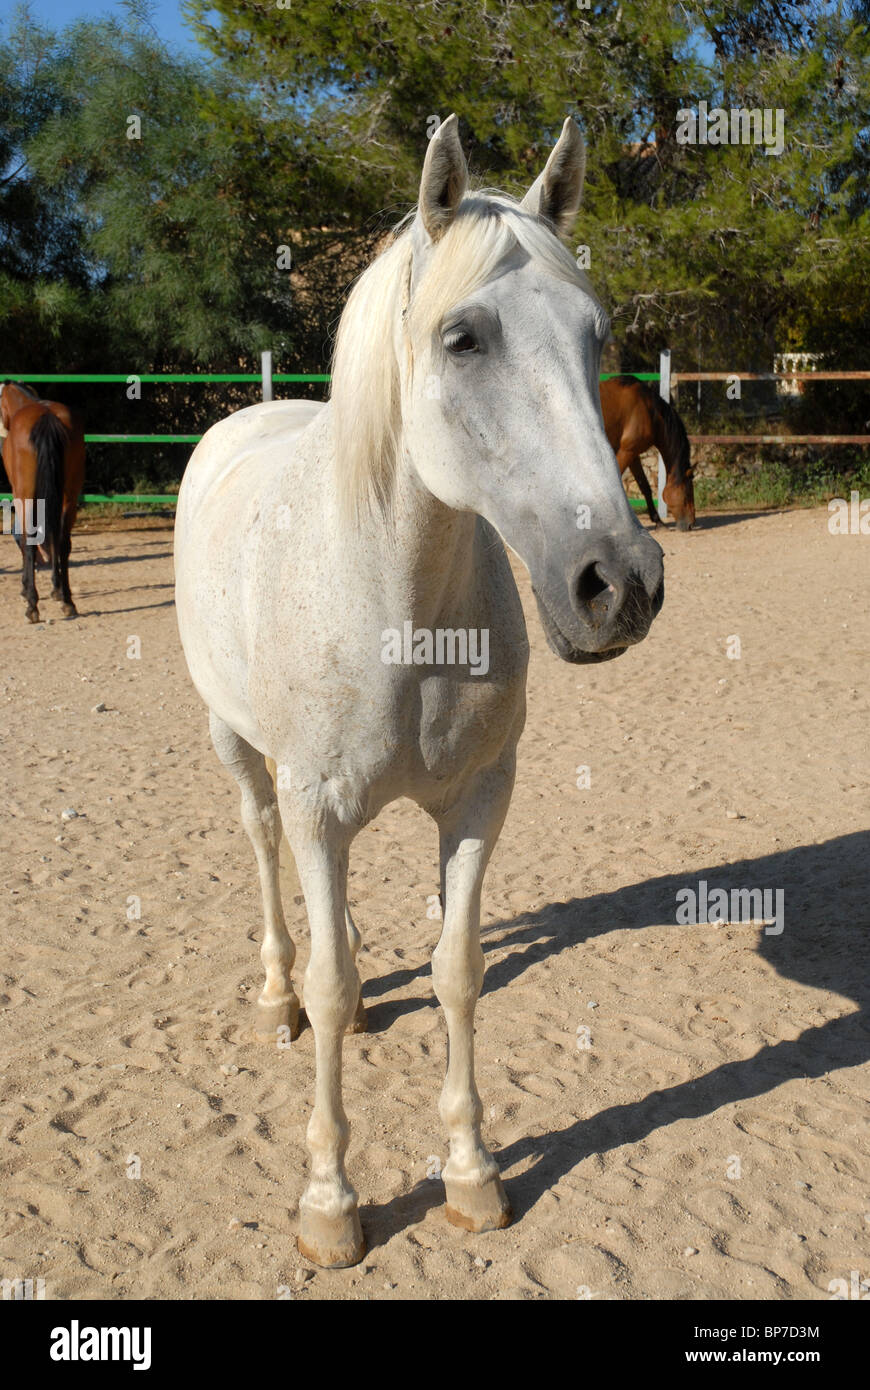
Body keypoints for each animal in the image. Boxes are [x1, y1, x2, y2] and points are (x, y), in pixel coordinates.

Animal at [0, 380, 84, 619]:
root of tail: (46, 417)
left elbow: (24, 538)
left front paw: (25, 588)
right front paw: (56, 589)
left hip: (27, 495)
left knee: (30, 541)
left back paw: (32, 605)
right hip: (69, 496)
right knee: (62, 541)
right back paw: (67, 600)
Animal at [176, 116, 664, 1273]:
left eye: (595, 336)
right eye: (463, 338)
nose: (619, 584)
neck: (393, 592)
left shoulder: (479, 800)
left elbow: (457, 971)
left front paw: (472, 1173)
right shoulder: (318, 806)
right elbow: (332, 977)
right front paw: (328, 1202)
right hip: (236, 746)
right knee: (265, 851)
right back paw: (276, 995)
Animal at [600, 375, 694, 530]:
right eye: (688, 492)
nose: (691, 524)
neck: (649, 410)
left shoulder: (632, 455)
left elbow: (645, 486)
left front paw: (658, 521)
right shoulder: (626, 452)